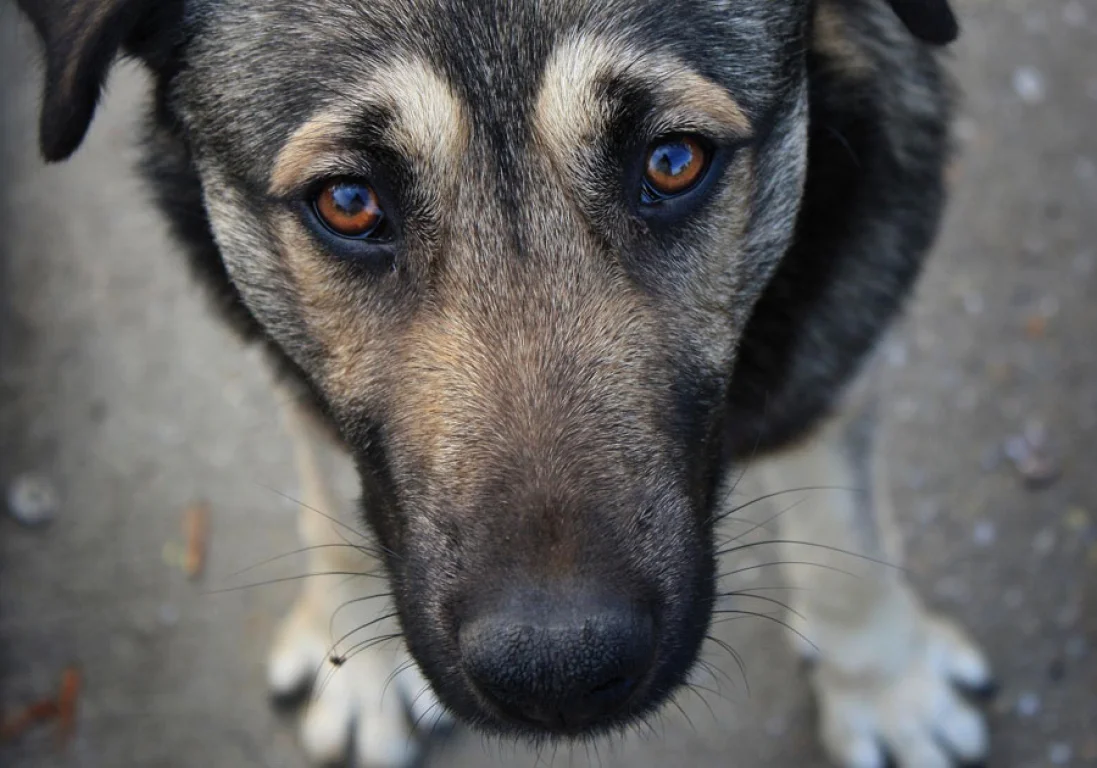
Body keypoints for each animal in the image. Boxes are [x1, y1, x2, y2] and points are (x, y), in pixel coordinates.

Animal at [15, 0, 996, 763]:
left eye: (673, 161)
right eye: (348, 203)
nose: (557, 673)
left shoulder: (843, 316)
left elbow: (844, 526)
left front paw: (886, 687)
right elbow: (332, 489)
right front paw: (359, 661)